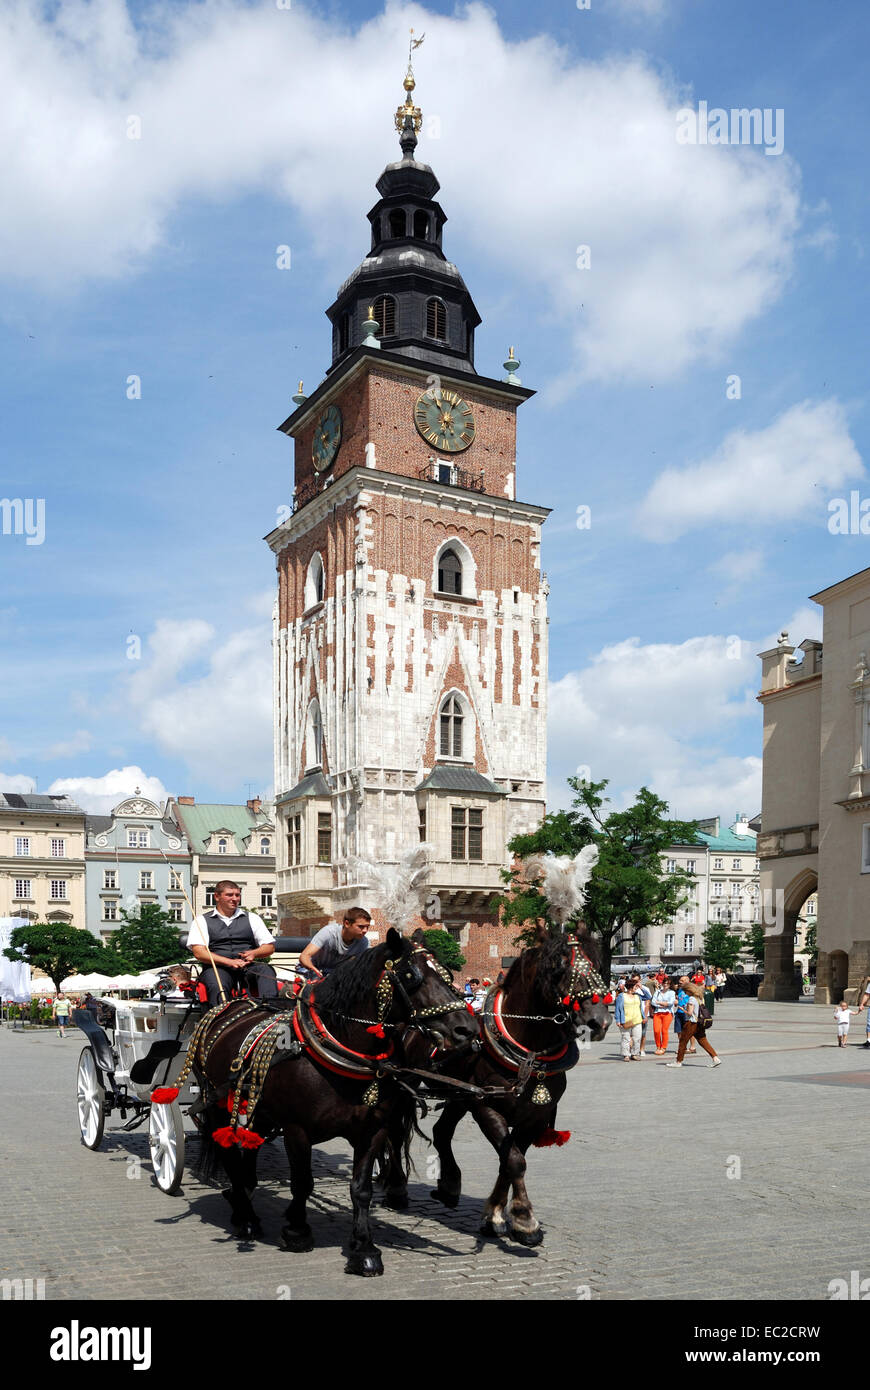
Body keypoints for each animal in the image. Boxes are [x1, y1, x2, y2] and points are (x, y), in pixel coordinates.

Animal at [189, 928, 475, 1273]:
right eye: (411, 976)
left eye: (447, 974)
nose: (468, 1029)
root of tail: (232, 1005)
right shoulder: (297, 1129)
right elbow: (302, 1182)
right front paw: (297, 1231)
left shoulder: (373, 1131)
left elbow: (361, 1189)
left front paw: (364, 1249)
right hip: (218, 1103)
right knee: (229, 1154)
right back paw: (245, 1217)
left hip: (256, 1108)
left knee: (249, 1149)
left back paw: (243, 1198)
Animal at [422, 928, 608, 1245]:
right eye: (558, 968)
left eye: (596, 964)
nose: (599, 1021)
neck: (528, 1055)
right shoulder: (485, 1108)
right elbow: (514, 1162)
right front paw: (525, 1220)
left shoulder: (534, 1117)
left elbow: (507, 1161)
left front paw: (495, 1216)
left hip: (458, 1095)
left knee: (441, 1131)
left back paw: (449, 1185)